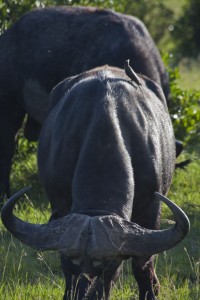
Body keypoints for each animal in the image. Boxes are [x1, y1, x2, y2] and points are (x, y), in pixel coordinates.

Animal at [1, 66, 189, 300]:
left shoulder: (152, 210)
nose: (85, 291)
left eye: (109, 264)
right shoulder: (60, 205)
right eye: (68, 261)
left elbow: (142, 264)